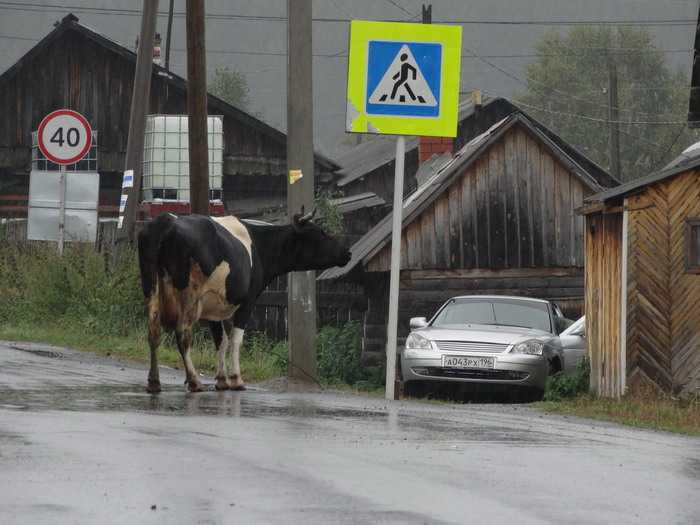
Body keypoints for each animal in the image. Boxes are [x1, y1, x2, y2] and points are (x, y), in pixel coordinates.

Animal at [137, 210, 352, 392]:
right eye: (319, 232)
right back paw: (194, 381)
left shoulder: (215, 305)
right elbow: (235, 340)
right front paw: (235, 379)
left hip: (151, 289)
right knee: (183, 334)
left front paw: (221, 380)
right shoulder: (248, 301)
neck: (259, 245)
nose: (347, 252)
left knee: (153, 331)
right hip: (189, 297)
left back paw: (154, 382)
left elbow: (221, 341)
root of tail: (166, 220)